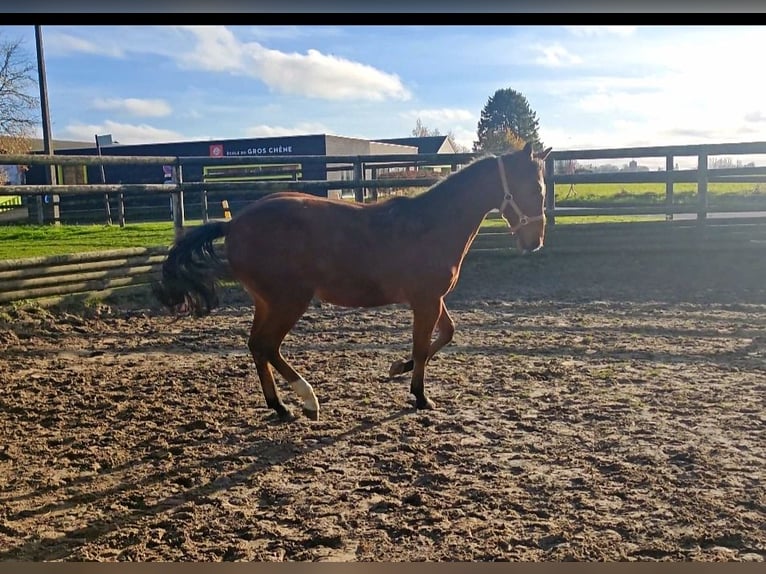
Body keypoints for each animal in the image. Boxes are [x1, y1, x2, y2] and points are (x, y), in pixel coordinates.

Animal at [153, 141, 552, 421]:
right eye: (536, 190)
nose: (534, 242)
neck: (432, 224)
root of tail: (234, 223)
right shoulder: (425, 300)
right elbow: (424, 346)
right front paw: (421, 397)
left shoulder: (433, 299)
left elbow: (446, 335)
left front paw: (399, 368)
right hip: (288, 300)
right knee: (267, 346)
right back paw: (307, 400)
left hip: (266, 301)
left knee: (256, 346)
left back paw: (281, 406)